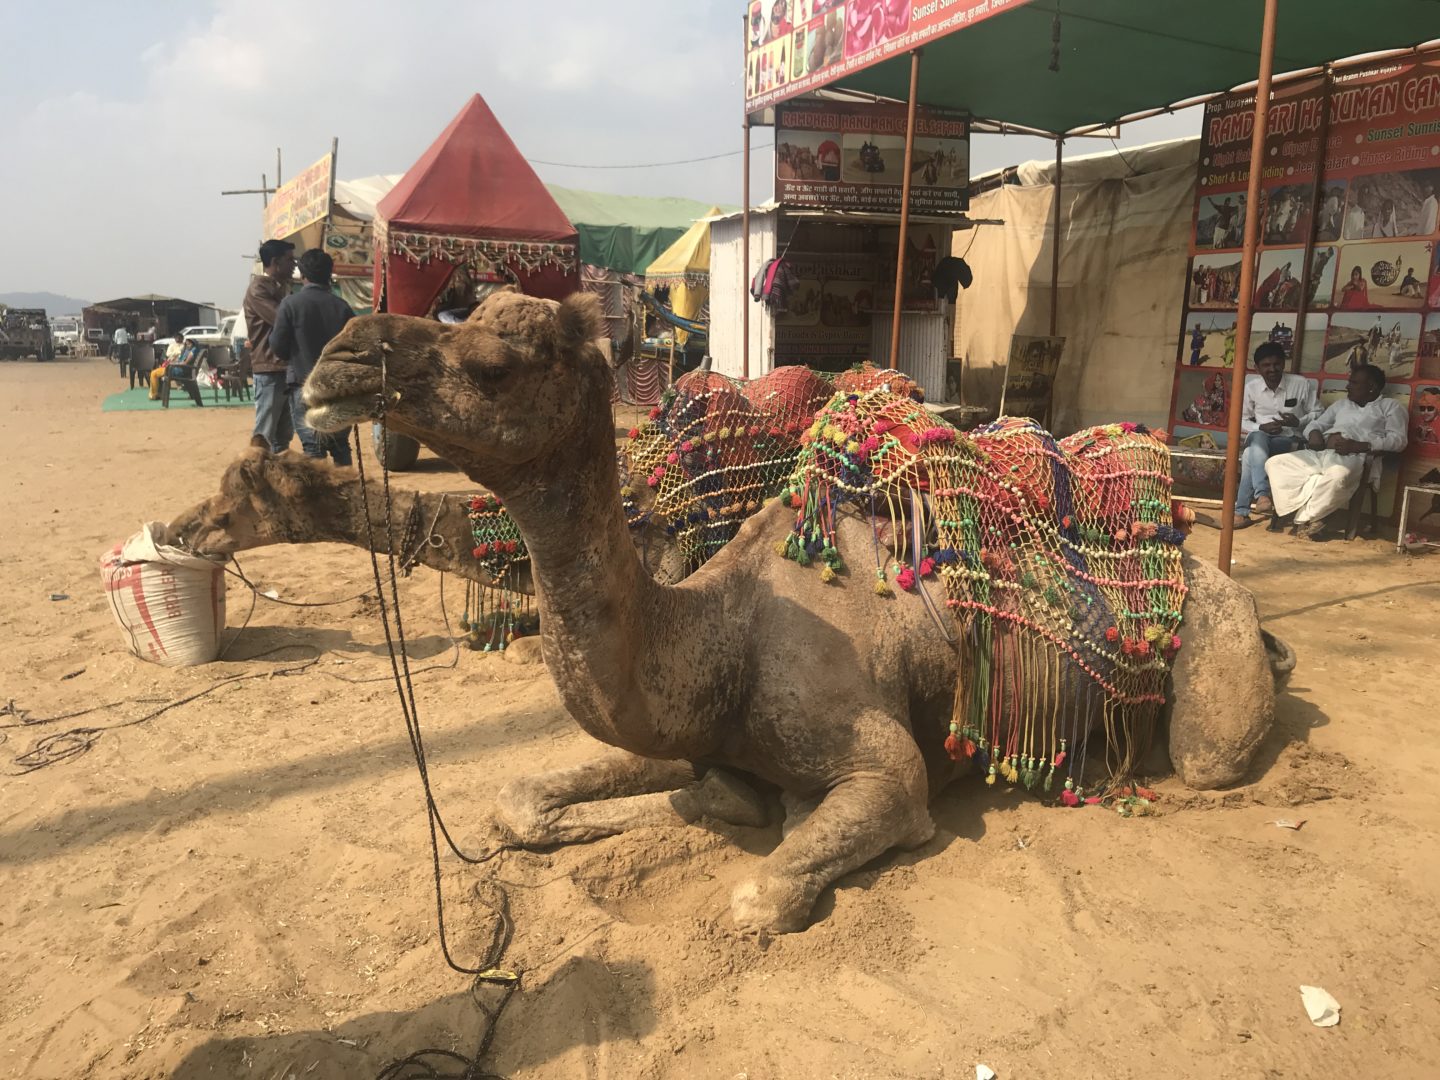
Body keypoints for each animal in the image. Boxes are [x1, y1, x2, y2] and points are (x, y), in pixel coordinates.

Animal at [300, 292, 1272, 933]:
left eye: (495, 366)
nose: (337, 355)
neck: (724, 634)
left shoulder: (879, 766)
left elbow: (761, 890)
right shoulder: (697, 731)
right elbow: (525, 797)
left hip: (1214, 654)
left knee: (1210, 755)